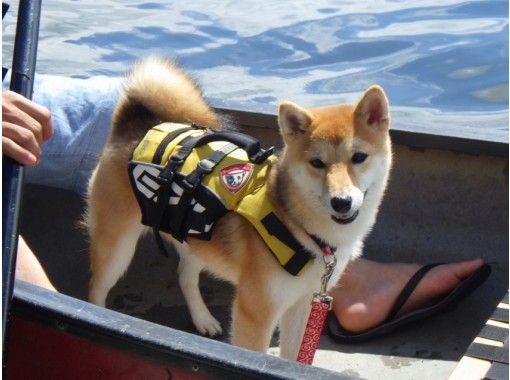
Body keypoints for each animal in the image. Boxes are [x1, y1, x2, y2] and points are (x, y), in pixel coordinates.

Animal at [85, 56, 392, 362]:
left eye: (359, 157)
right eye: (317, 163)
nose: (342, 201)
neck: (299, 226)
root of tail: (135, 126)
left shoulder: (304, 304)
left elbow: (293, 357)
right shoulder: (257, 311)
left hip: (196, 239)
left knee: (185, 276)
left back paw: (203, 319)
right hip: (117, 248)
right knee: (96, 292)